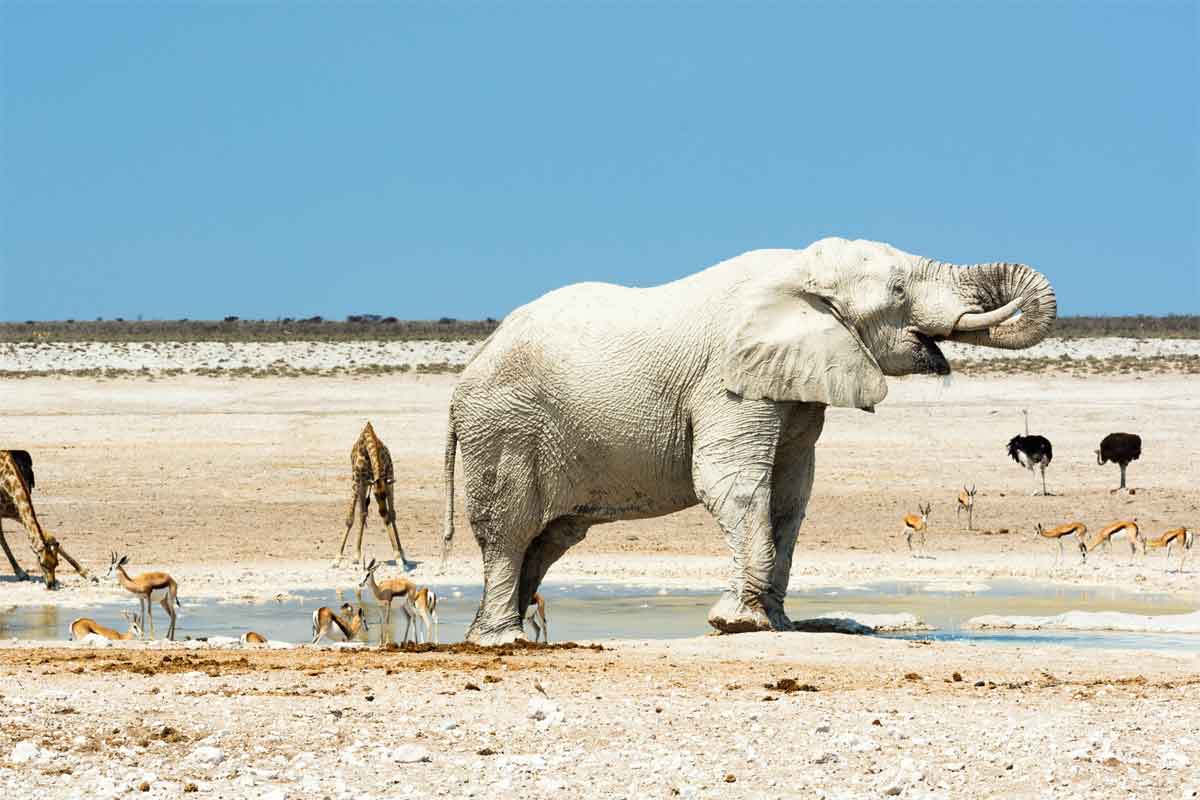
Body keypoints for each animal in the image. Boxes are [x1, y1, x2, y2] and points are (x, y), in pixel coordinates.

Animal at [0, 450, 88, 587]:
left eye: (56, 563)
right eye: (41, 563)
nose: (51, 584)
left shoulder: (15, 511)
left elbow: (48, 535)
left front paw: (86, 573)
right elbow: (2, 539)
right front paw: (21, 573)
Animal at [333, 424, 417, 568]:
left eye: (383, 495)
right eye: (376, 495)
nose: (382, 512)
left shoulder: (389, 478)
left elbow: (392, 515)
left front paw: (399, 557)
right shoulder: (357, 480)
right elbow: (350, 518)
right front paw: (337, 559)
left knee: (385, 514)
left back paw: (402, 556)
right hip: (363, 484)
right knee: (362, 513)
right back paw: (356, 555)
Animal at [439, 237, 1051, 642]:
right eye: (899, 290)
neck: (799, 272)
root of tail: (465, 375)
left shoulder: (796, 385)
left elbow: (790, 496)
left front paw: (776, 623)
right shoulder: (728, 382)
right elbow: (730, 484)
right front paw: (733, 621)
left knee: (549, 539)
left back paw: (488, 634)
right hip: (503, 428)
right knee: (510, 532)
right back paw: (502, 641)